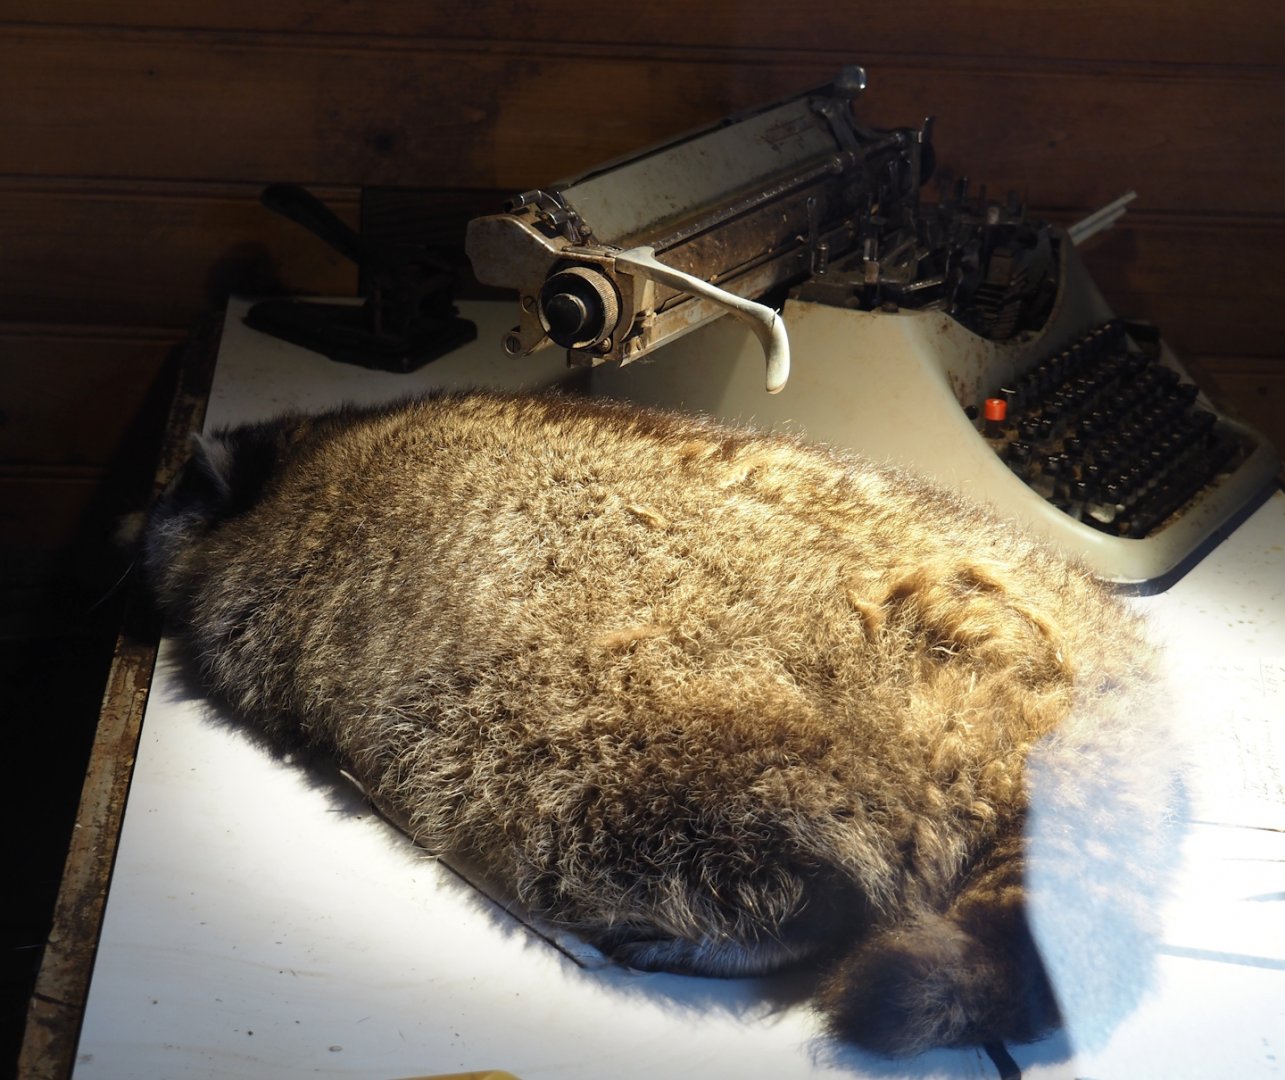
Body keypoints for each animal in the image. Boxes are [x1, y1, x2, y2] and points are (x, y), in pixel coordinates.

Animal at [142, 389, 1183, 1060]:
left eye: (164, 501)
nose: (135, 523)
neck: (295, 455)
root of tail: (1065, 679)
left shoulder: (250, 596)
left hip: (650, 754)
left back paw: (769, 927)